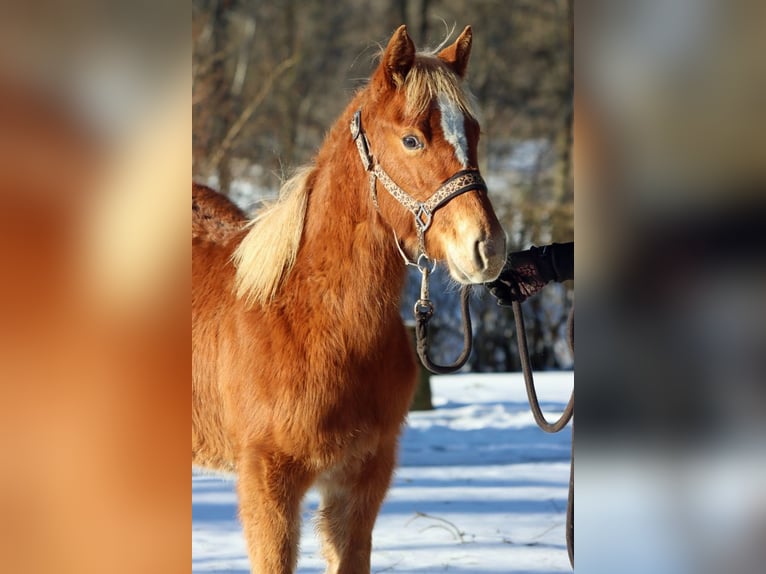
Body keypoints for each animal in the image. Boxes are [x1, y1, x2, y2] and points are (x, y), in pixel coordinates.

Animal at [192, 25, 506, 573]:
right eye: (412, 139)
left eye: (474, 133)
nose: (487, 248)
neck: (312, 320)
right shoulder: (267, 486)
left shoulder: (361, 481)